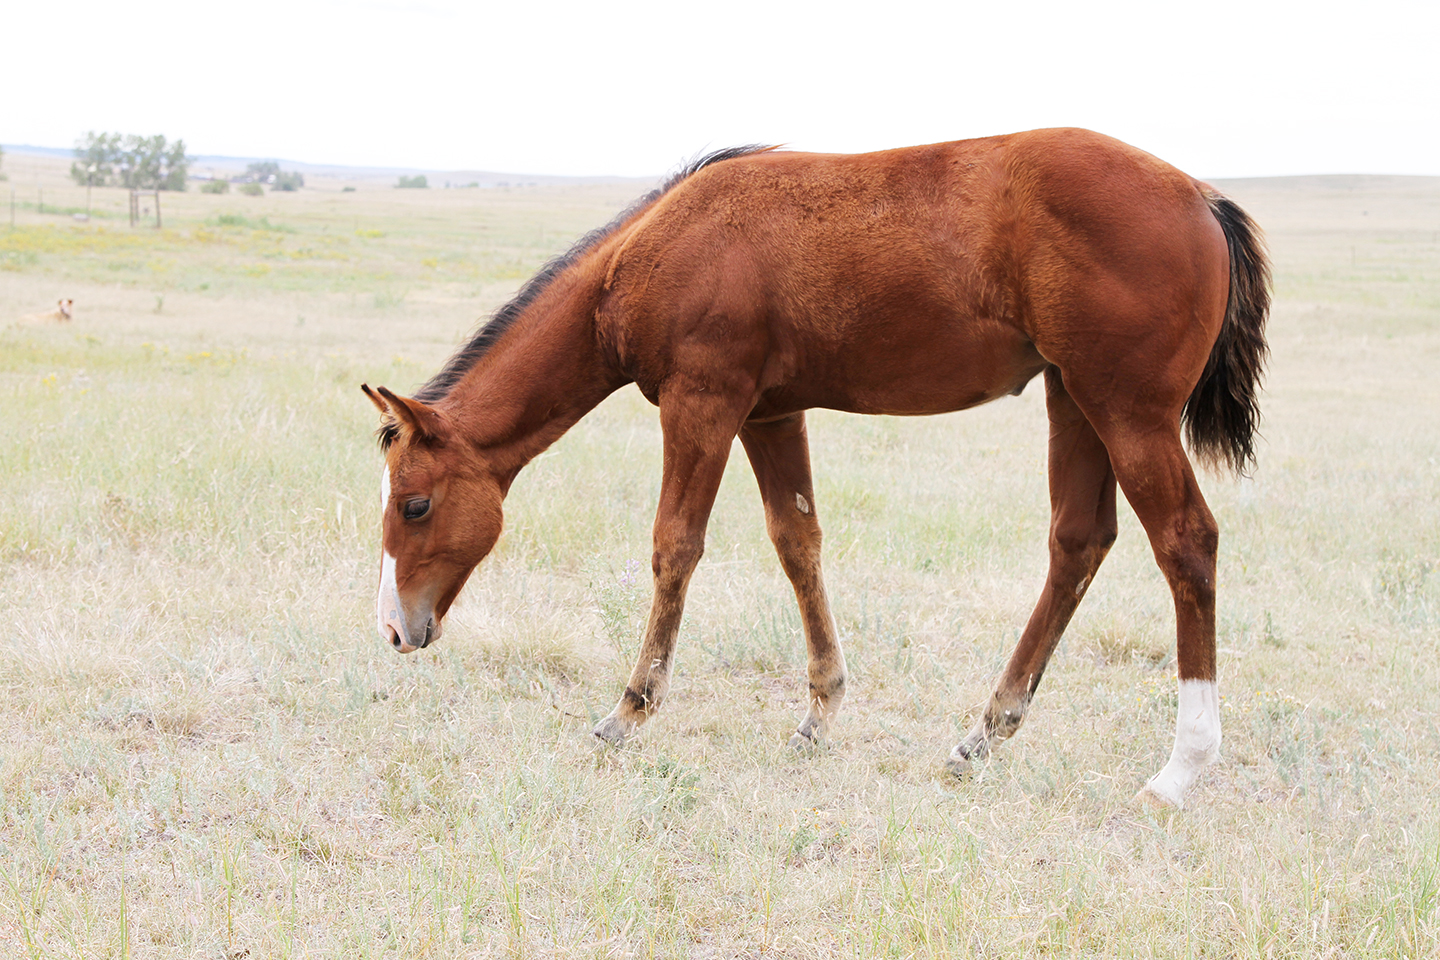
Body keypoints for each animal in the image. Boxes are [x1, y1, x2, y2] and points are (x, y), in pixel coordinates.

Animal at [365, 125, 1267, 805]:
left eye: (414, 505)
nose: (397, 628)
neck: (652, 252)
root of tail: (1200, 196)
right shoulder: (770, 414)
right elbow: (798, 543)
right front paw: (821, 713)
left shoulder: (702, 404)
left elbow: (674, 547)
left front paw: (629, 711)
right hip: (1073, 399)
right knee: (1078, 541)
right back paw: (985, 732)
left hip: (1127, 413)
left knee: (1187, 543)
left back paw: (1181, 770)